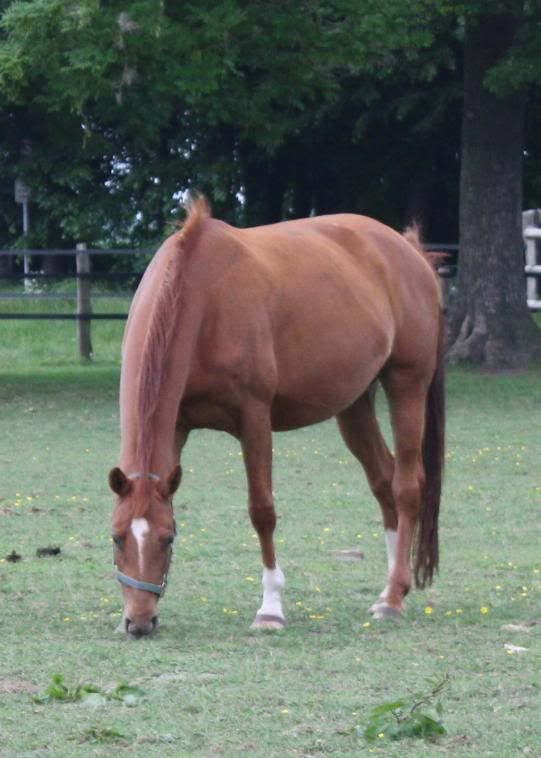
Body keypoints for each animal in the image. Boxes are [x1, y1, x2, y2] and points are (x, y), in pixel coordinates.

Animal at [108, 199, 442, 640]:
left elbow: (262, 511)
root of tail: (410, 251)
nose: (140, 622)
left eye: (166, 539)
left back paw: (393, 598)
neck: (203, 296)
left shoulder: (254, 419)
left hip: (407, 384)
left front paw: (270, 608)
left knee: (406, 487)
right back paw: (391, 585)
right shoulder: (176, 425)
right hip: (353, 406)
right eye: (116, 539)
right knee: (384, 481)